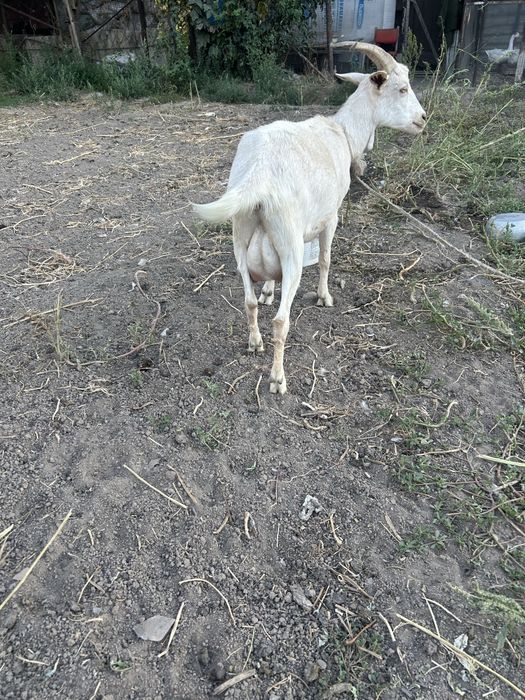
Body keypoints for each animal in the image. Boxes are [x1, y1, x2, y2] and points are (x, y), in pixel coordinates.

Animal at [193, 42, 426, 394]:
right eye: (402, 88)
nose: (423, 119)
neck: (343, 133)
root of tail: (259, 173)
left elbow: (266, 286)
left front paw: (268, 291)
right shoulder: (331, 216)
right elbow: (327, 258)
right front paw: (324, 297)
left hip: (240, 235)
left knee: (247, 301)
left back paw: (254, 342)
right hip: (290, 243)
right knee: (280, 320)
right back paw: (277, 379)